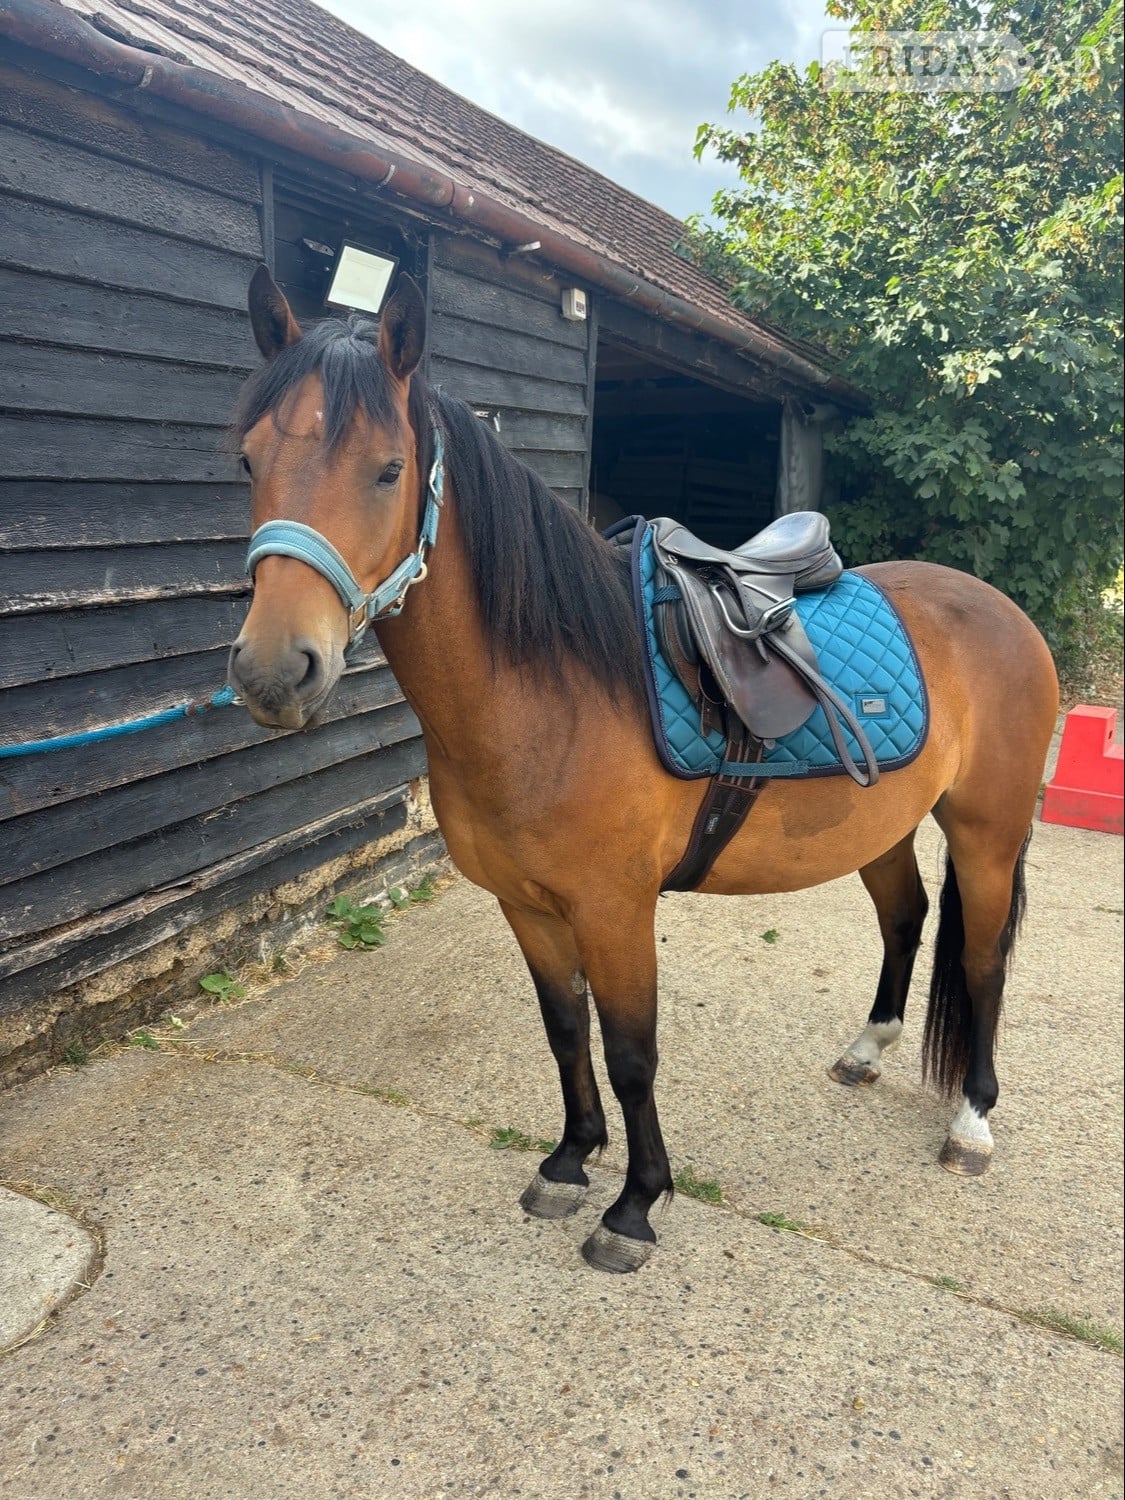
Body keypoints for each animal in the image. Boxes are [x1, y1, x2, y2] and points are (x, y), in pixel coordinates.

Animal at [227, 268, 1059, 1274]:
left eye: (388, 468)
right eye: (247, 462)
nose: (274, 674)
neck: (551, 692)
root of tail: (1000, 611)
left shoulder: (614, 909)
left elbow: (631, 1053)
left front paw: (634, 1206)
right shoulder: (528, 906)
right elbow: (563, 1033)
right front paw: (568, 1160)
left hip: (986, 831)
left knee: (983, 959)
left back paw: (972, 1118)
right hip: (880, 828)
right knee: (905, 919)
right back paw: (866, 1051)